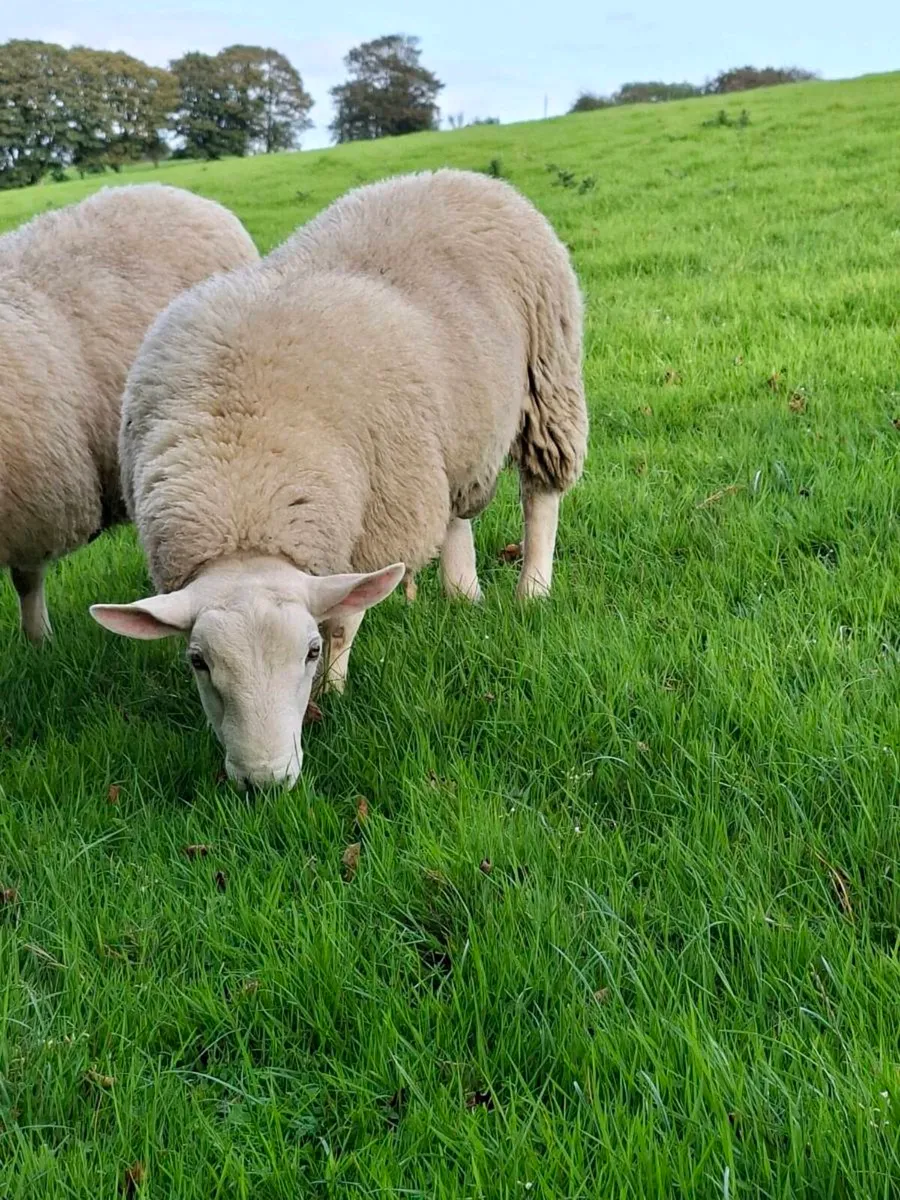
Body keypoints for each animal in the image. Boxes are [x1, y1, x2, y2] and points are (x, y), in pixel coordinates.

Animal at [91, 169, 588, 787]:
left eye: (306, 652)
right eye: (198, 661)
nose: (265, 781)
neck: (244, 493)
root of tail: (453, 175)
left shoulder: (373, 522)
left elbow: (344, 622)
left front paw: (333, 690)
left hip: (549, 373)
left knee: (540, 494)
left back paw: (532, 591)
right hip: (448, 429)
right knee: (453, 508)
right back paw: (461, 593)